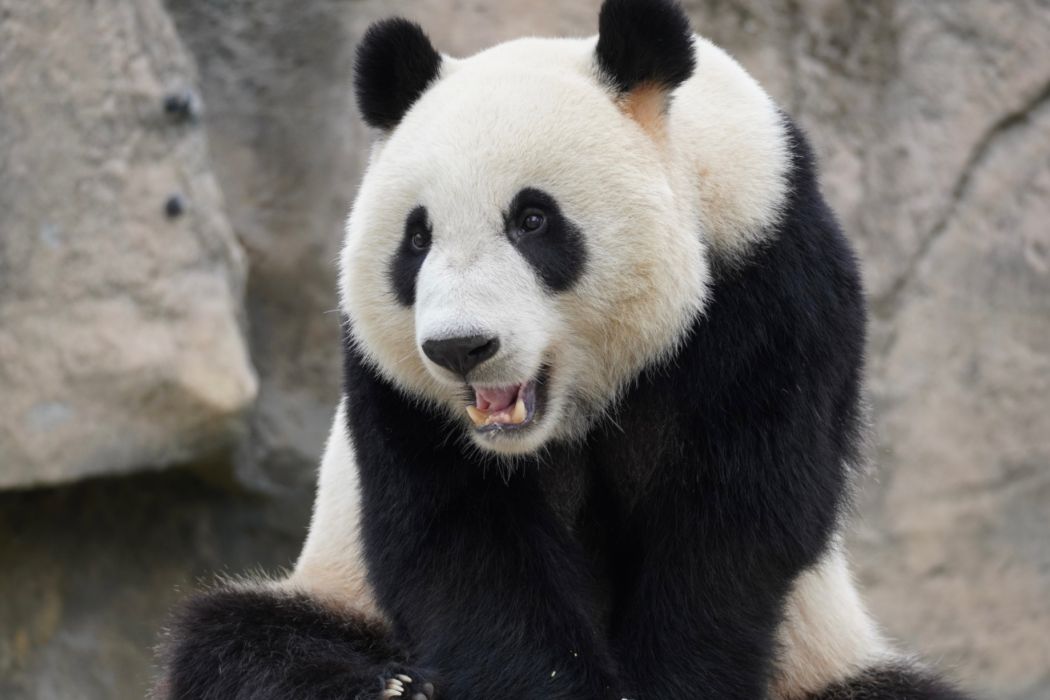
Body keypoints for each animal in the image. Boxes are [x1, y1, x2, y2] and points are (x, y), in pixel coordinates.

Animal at [157, 1, 974, 700]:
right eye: (416, 239)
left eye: (532, 219)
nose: (460, 348)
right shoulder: (395, 389)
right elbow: (461, 544)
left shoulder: (768, 272)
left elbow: (736, 521)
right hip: (333, 585)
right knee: (237, 643)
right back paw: (388, 686)